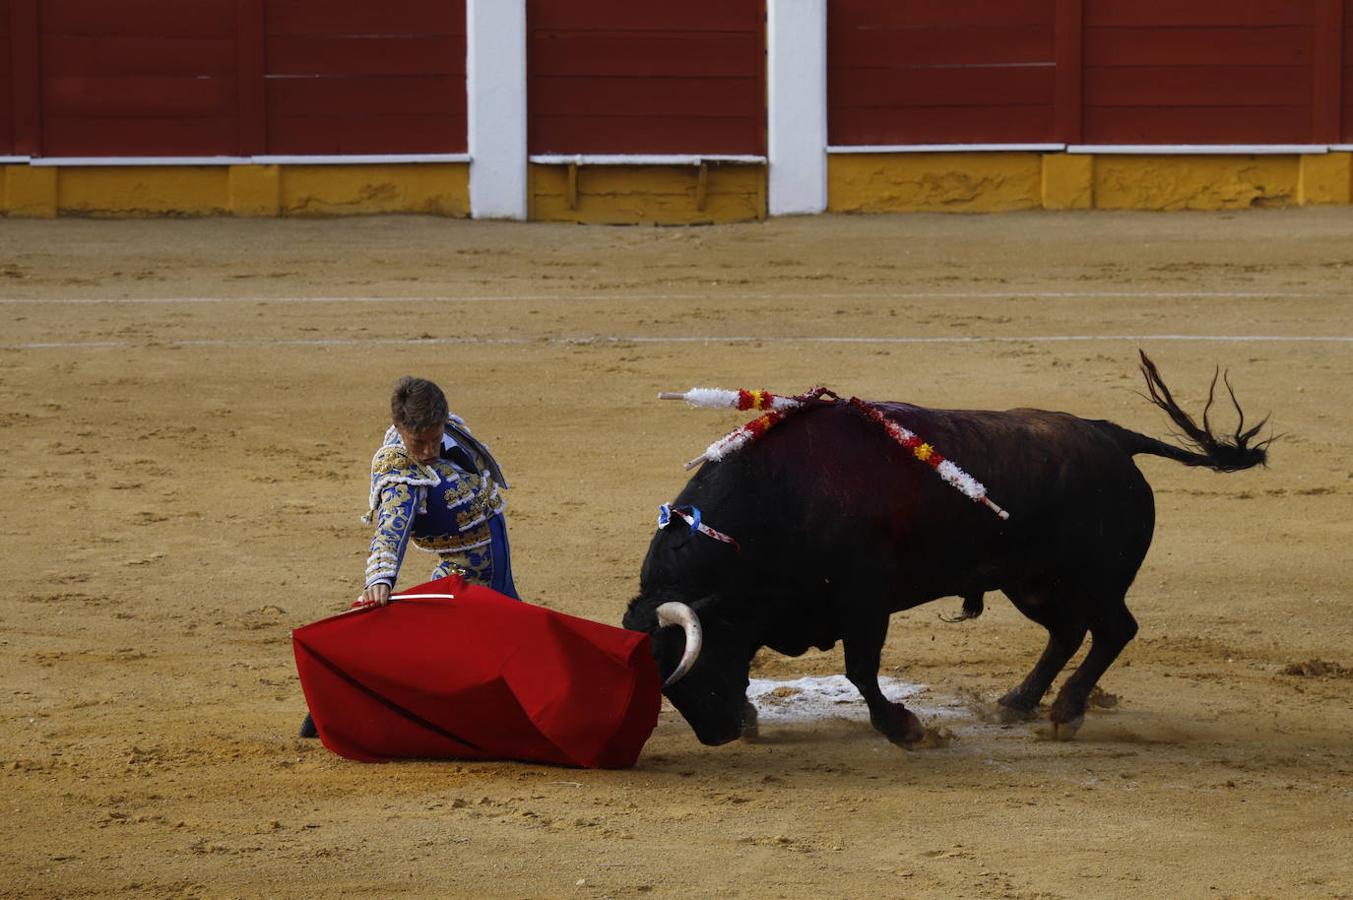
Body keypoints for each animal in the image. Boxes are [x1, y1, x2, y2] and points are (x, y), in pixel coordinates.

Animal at [619, 351, 1266, 741]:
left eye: (691, 661)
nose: (718, 734)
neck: (778, 499)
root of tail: (1110, 437)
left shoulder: (865, 600)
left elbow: (860, 668)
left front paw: (904, 729)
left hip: (1095, 580)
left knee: (1113, 630)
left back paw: (1065, 711)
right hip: (1031, 583)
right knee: (1067, 632)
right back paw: (1019, 702)